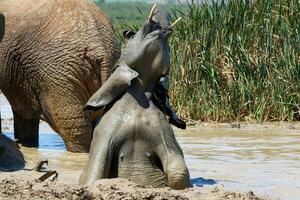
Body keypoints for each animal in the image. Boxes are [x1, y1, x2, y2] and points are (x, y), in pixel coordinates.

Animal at [78, 4, 189, 189]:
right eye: (130, 34)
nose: (161, 9)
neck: (139, 96)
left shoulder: (163, 129)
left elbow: (178, 171)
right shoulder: (103, 133)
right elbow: (94, 172)